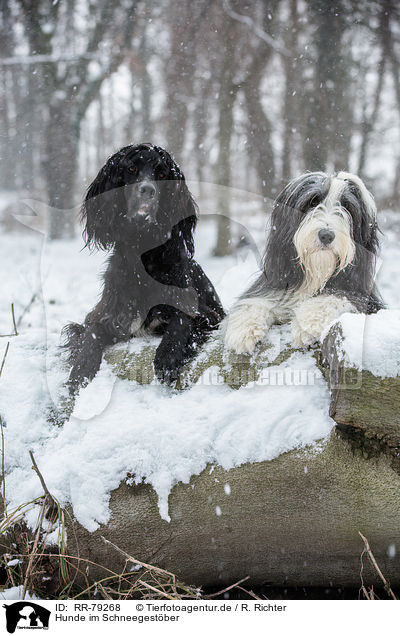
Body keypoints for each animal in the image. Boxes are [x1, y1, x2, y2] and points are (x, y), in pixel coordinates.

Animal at [64, 144, 223, 392]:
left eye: (162, 174)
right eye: (131, 168)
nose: (147, 190)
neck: (143, 252)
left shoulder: (206, 313)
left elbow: (182, 320)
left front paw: (167, 357)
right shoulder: (107, 315)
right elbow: (91, 333)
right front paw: (80, 372)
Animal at [225, 171, 384, 356]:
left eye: (347, 207)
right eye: (313, 202)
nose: (326, 235)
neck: (317, 272)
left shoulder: (365, 297)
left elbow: (335, 296)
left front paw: (308, 323)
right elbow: (257, 300)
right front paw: (243, 329)